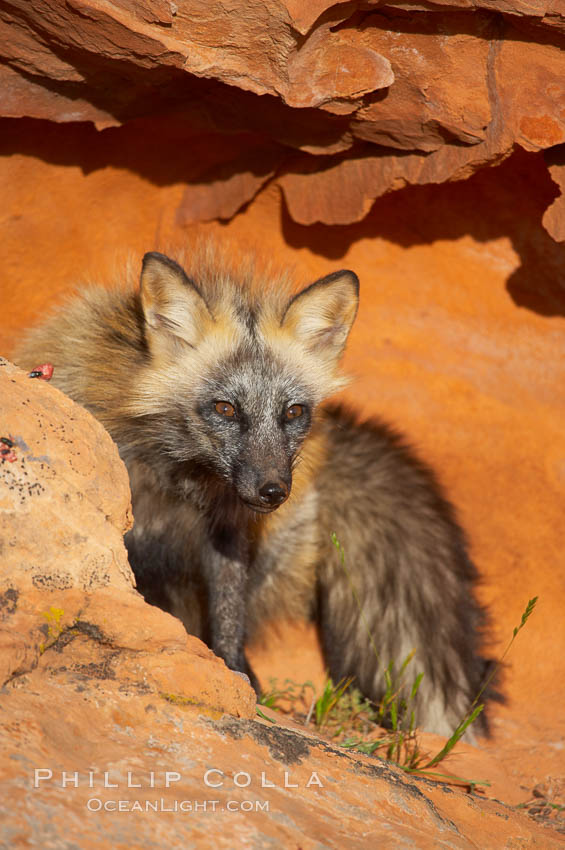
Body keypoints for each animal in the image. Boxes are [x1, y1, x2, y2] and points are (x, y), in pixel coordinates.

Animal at [13, 245, 496, 736]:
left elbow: (228, 622)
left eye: (293, 412)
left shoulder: (226, 533)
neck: (174, 482)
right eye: (225, 408)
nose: (273, 491)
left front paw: (235, 681)